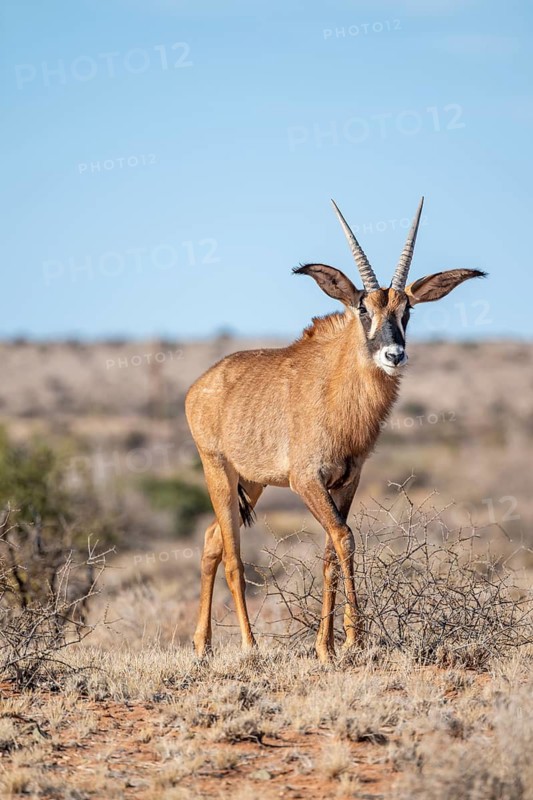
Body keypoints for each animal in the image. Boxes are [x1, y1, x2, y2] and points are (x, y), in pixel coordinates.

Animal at [185, 198, 485, 662]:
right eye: (363, 308)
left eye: (407, 310)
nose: (394, 354)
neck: (335, 388)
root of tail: (202, 384)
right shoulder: (307, 481)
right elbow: (344, 538)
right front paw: (353, 638)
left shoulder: (345, 482)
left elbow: (329, 550)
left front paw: (325, 647)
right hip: (218, 469)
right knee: (232, 554)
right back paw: (250, 644)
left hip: (252, 481)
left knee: (212, 539)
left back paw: (203, 645)